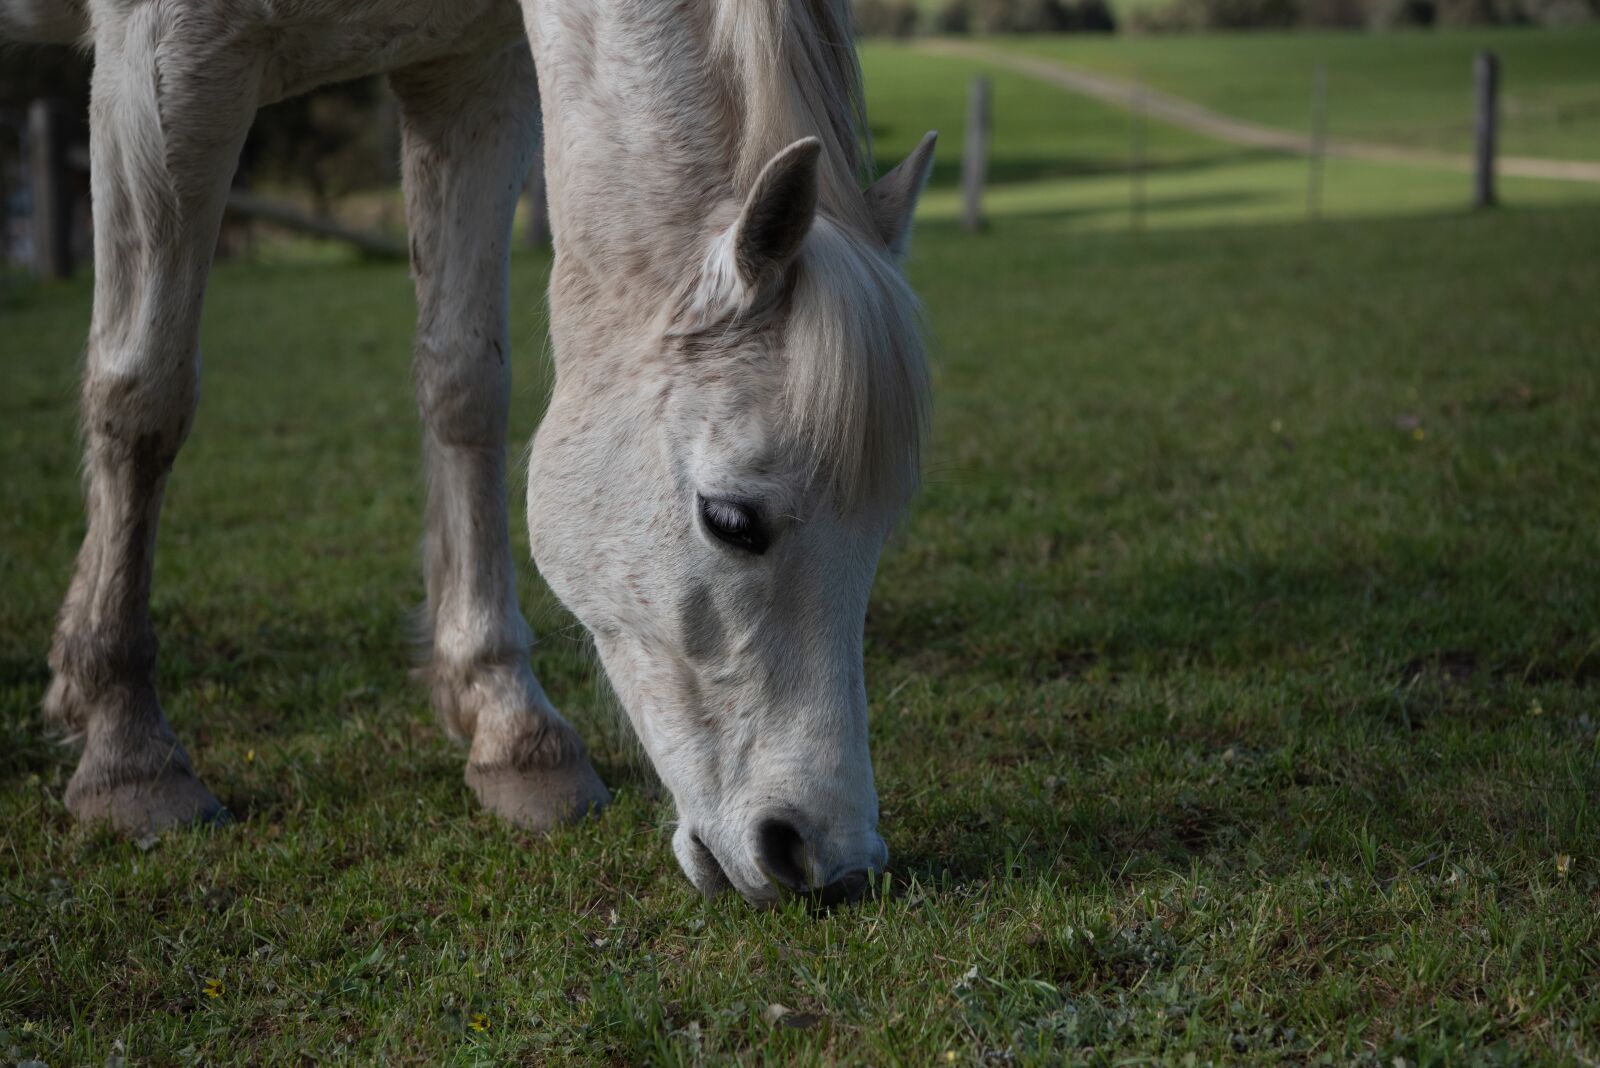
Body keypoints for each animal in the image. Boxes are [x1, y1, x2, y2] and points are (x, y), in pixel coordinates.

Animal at [5, 0, 935, 907]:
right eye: (732, 520)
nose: (830, 861)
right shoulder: (163, 60)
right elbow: (144, 397)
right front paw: (127, 748)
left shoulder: (469, 76)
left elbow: (464, 384)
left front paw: (508, 722)